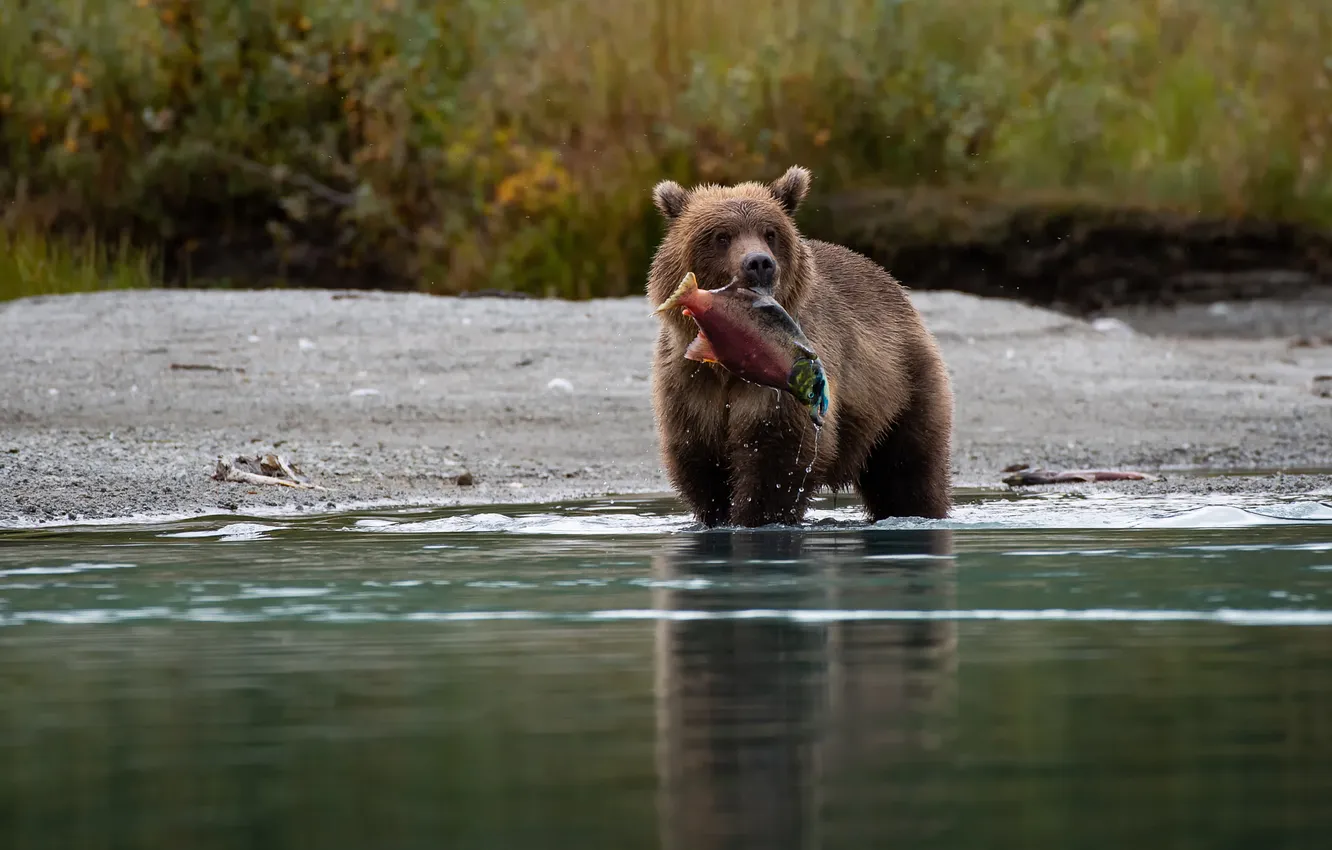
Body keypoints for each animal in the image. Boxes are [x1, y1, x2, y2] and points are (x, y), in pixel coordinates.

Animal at [647, 163, 953, 530]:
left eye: (770, 233)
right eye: (721, 236)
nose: (759, 263)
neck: (726, 362)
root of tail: (892, 283)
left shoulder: (787, 372)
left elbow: (778, 455)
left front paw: (752, 517)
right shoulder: (688, 382)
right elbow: (700, 459)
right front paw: (717, 516)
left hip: (902, 381)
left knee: (909, 468)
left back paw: (917, 510)